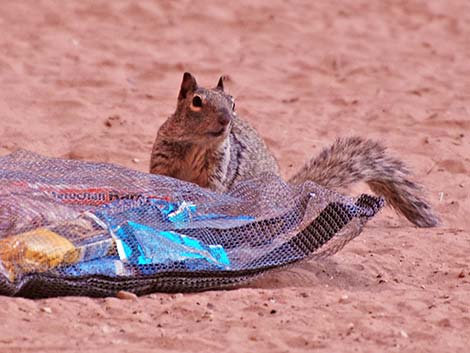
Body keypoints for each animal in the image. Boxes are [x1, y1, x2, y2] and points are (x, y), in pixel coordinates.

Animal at [151, 72, 440, 227]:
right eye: (196, 101)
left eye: (233, 103)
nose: (226, 119)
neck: (198, 144)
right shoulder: (163, 159)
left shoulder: (218, 170)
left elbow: (210, 192)